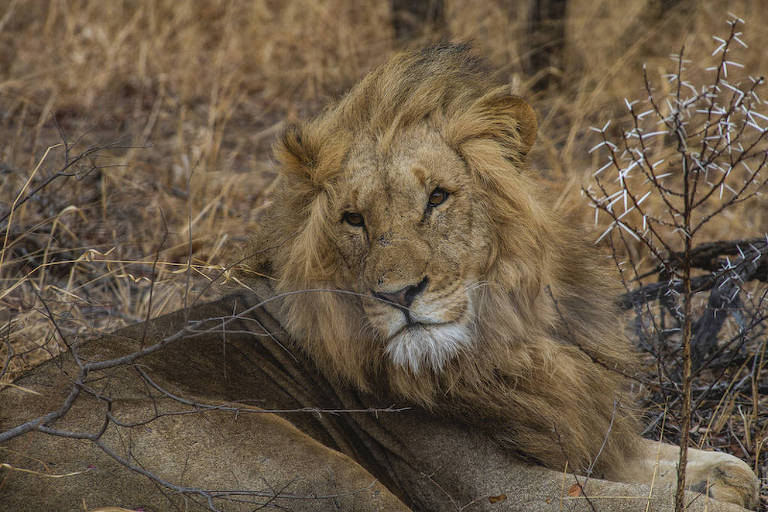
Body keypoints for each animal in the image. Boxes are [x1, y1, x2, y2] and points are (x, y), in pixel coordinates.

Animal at [243, 44, 760, 508]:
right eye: (353, 219)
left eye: (437, 197)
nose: (399, 295)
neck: (506, 349)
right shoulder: (500, 488)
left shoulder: (589, 436)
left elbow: (725, 469)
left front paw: (723, 478)